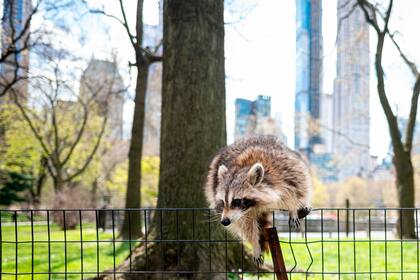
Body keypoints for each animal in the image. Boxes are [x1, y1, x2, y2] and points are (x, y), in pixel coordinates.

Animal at [203, 136, 312, 264]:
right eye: (222, 201)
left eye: (236, 201)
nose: (225, 221)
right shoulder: (243, 213)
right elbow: (247, 225)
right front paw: (254, 244)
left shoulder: (284, 170)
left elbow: (294, 188)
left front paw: (292, 207)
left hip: (293, 159)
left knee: (303, 183)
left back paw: (304, 204)